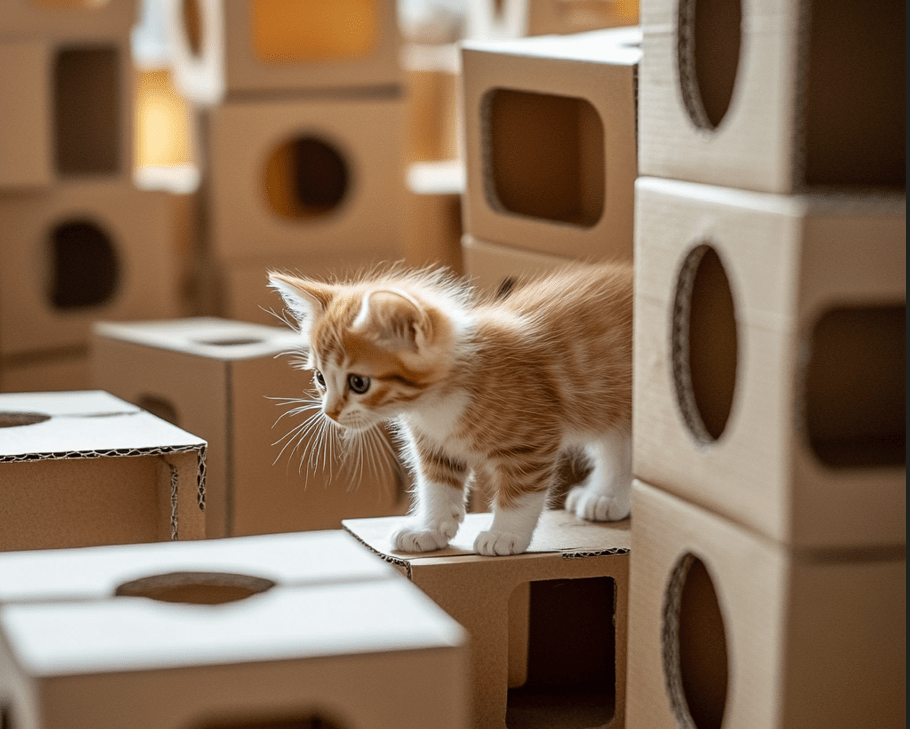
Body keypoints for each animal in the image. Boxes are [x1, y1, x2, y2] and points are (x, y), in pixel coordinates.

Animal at [268, 264, 632, 556]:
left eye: (359, 383)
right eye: (320, 378)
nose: (330, 413)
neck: (433, 405)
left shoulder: (532, 440)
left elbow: (521, 494)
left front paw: (505, 534)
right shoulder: (433, 445)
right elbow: (437, 486)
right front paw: (429, 528)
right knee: (616, 446)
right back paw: (606, 497)